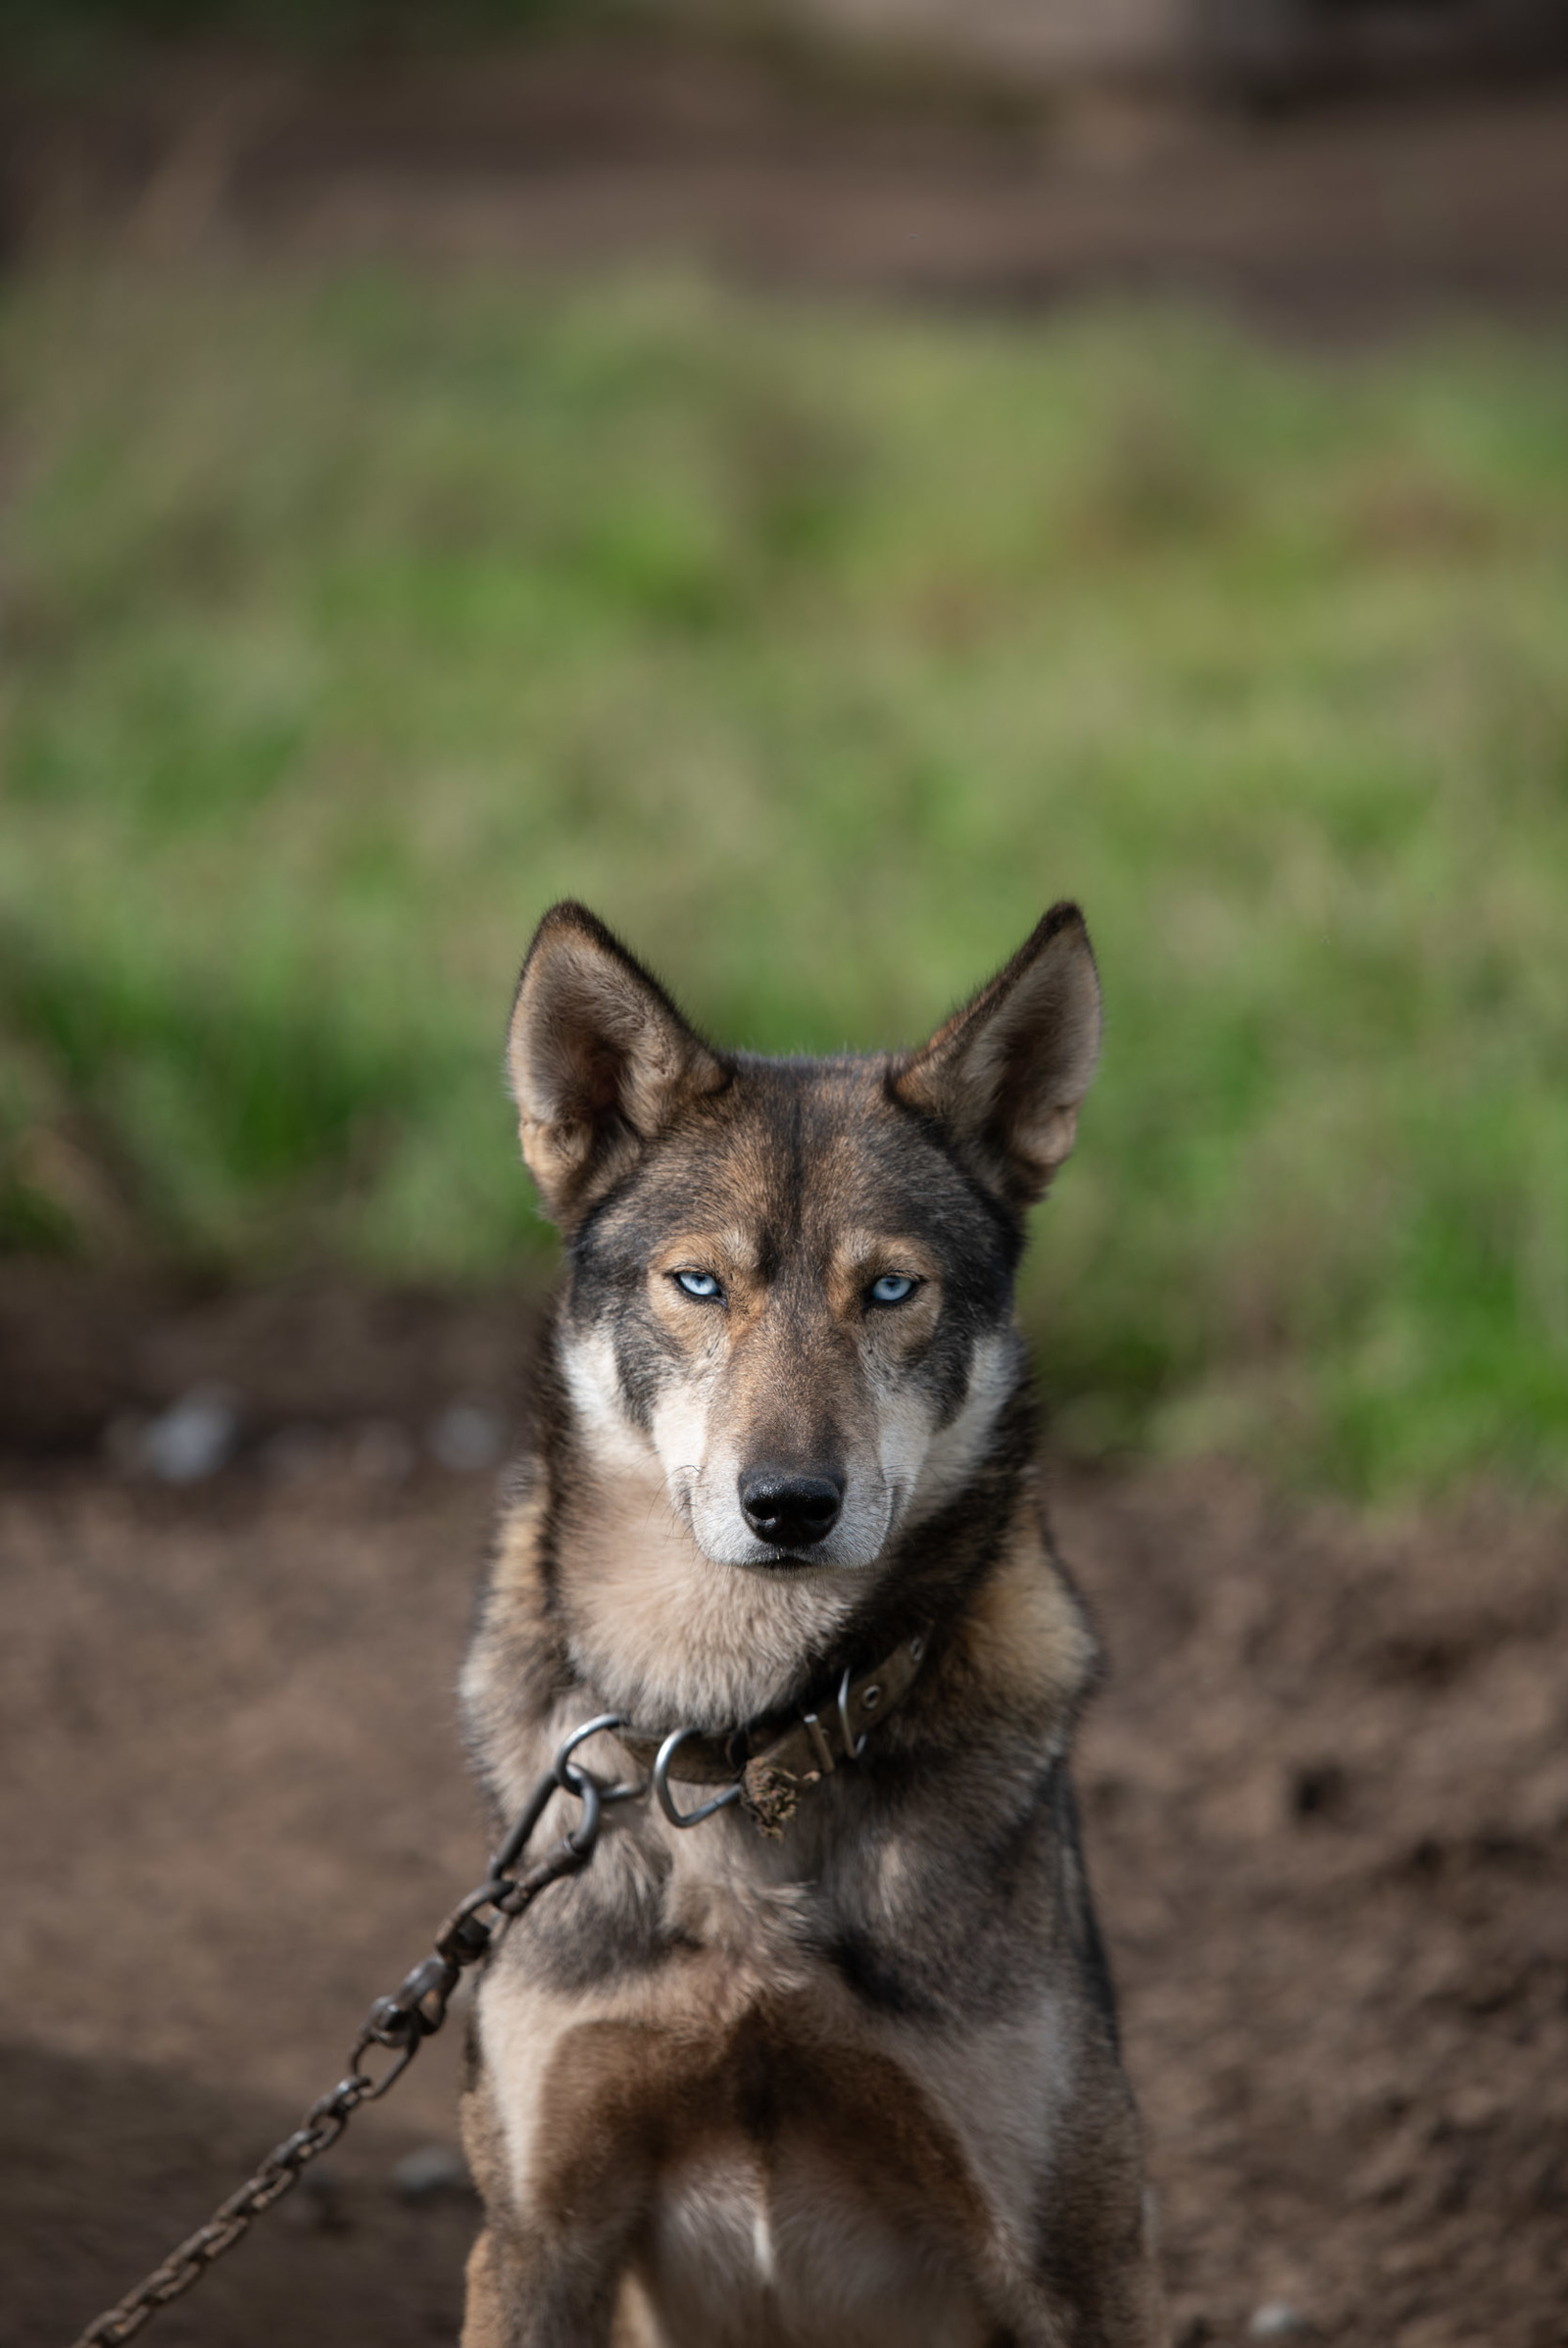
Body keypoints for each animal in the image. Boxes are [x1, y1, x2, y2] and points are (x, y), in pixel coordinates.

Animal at [460, 902, 1159, 2348]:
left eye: (891, 1291)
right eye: (698, 1283)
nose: (788, 1504)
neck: (736, 1739)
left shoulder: (1079, 2259)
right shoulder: (535, 2235)